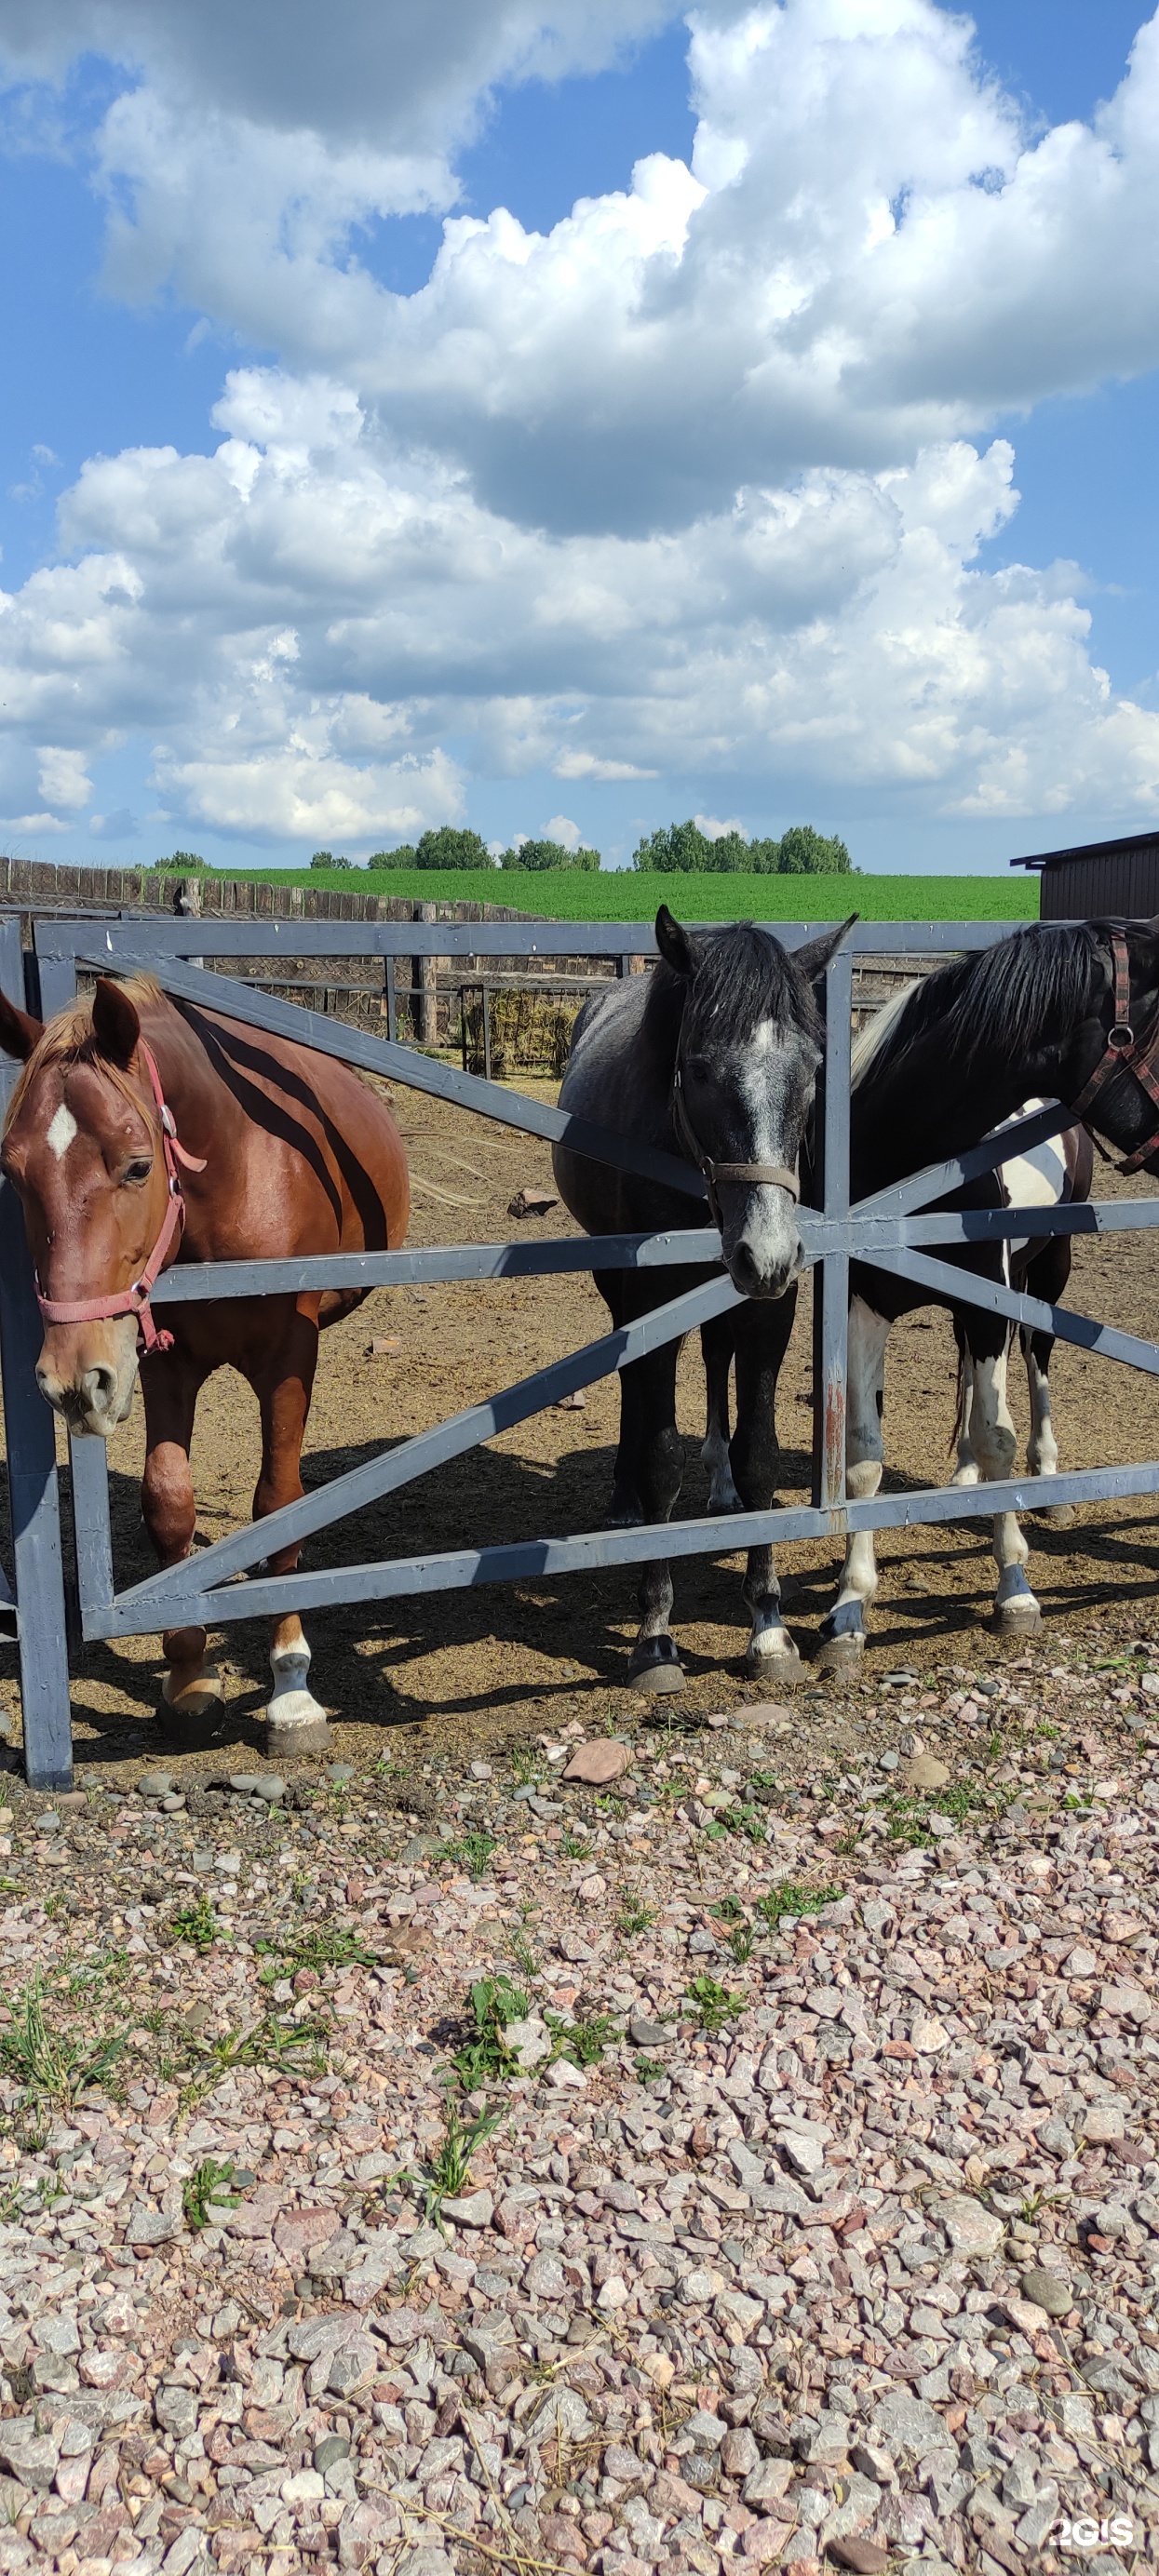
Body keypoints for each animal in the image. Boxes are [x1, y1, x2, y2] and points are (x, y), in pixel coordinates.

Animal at [0, 973, 411, 1762]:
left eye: (136, 1166)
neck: (236, 1182)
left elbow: (278, 1507)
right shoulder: (163, 1362)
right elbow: (169, 1505)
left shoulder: (288, 1359)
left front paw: (290, 1692)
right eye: (12, 1171)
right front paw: (189, 1679)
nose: (72, 1382)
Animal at [551, 906, 850, 1689]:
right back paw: (624, 1503)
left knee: (715, 1361)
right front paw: (654, 1636)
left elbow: (760, 1456)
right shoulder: (653, 1298)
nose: (768, 1252)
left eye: (812, 1072)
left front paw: (769, 1626)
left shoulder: (770, 1309)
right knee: (632, 1384)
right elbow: (660, 1458)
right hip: (620, 1288)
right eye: (701, 1069)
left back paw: (718, 1489)